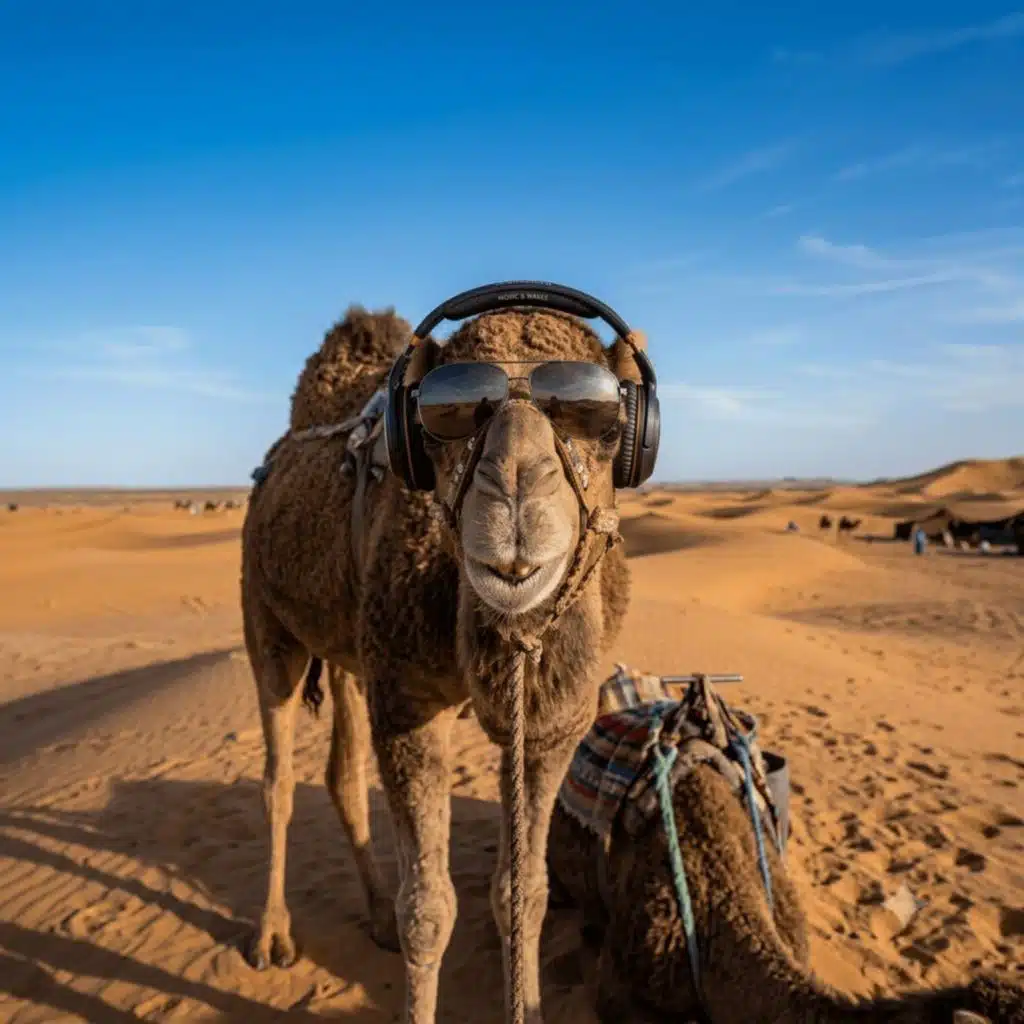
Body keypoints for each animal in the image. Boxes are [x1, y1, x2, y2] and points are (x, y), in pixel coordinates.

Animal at [240, 294, 647, 1023]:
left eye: (602, 425)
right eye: (445, 420)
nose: (513, 498)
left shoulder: (556, 726)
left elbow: (524, 893)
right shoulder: (409, 702)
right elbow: (429, 909)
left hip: (350, 654)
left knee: (342, 773)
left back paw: (373, 916)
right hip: (267, 621)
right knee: (278, 778)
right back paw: (272, 936)